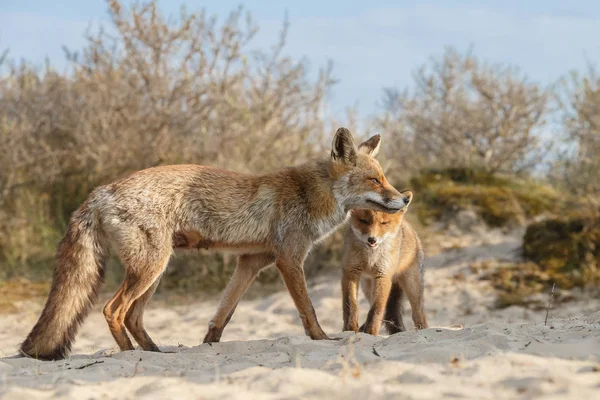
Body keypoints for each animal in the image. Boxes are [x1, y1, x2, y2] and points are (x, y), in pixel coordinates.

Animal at [19, 127, 408, 360]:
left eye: (385, 178)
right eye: (375, 180)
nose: (403, 199)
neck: (310, 194)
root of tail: (101, 191)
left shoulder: (251, 262)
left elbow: (224, 312)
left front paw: (209, 344)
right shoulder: (289, 259)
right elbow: (308, 310)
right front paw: (323, 339)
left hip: (154, 271)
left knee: (132, 316)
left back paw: (155, 352)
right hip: (150, 268)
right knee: (113, 310)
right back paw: (132, 354)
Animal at [342, 191, 426, 334]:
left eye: (384, 223)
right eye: (364, 221)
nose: (372, 239)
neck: (371, 256)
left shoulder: (383, 275)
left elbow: (377, 309)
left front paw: (371, 332)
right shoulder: (350, 271)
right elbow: (350, 305)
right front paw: (350, 329)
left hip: (413, 287)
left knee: (418, 315)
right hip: (367, 286)